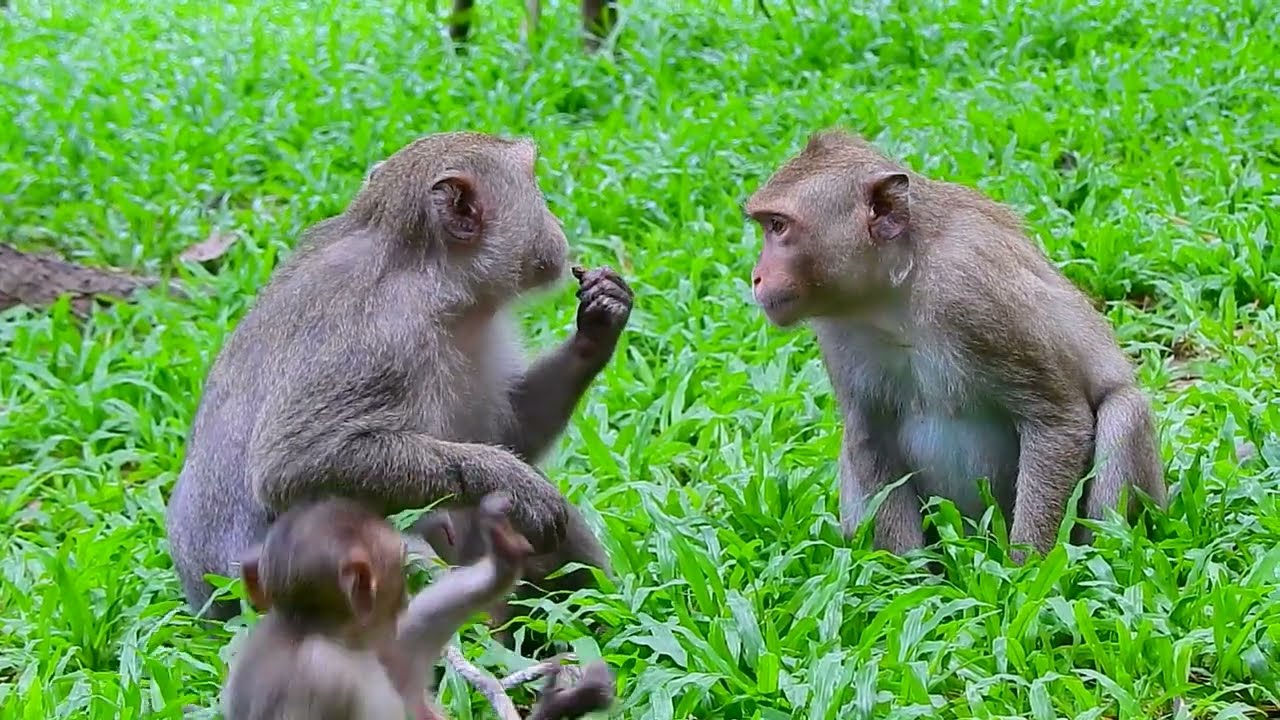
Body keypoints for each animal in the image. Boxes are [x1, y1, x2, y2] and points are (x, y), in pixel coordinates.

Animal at [166, 131, 632, 621]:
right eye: (534, 181)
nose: (557, 224)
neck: (433, 275)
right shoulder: (382, 339)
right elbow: (293, 465)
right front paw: (513, 481)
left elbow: (508, 432)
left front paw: (599, 324)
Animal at [743, 128, 1166, 560]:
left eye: (778, 226)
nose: (756, 276)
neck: (897, 292)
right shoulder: (837, 331)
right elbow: (870, 438)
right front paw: (910, 575)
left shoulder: (972, 292)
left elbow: (1057, 421)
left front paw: (1026, 569)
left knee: (1124, 411)